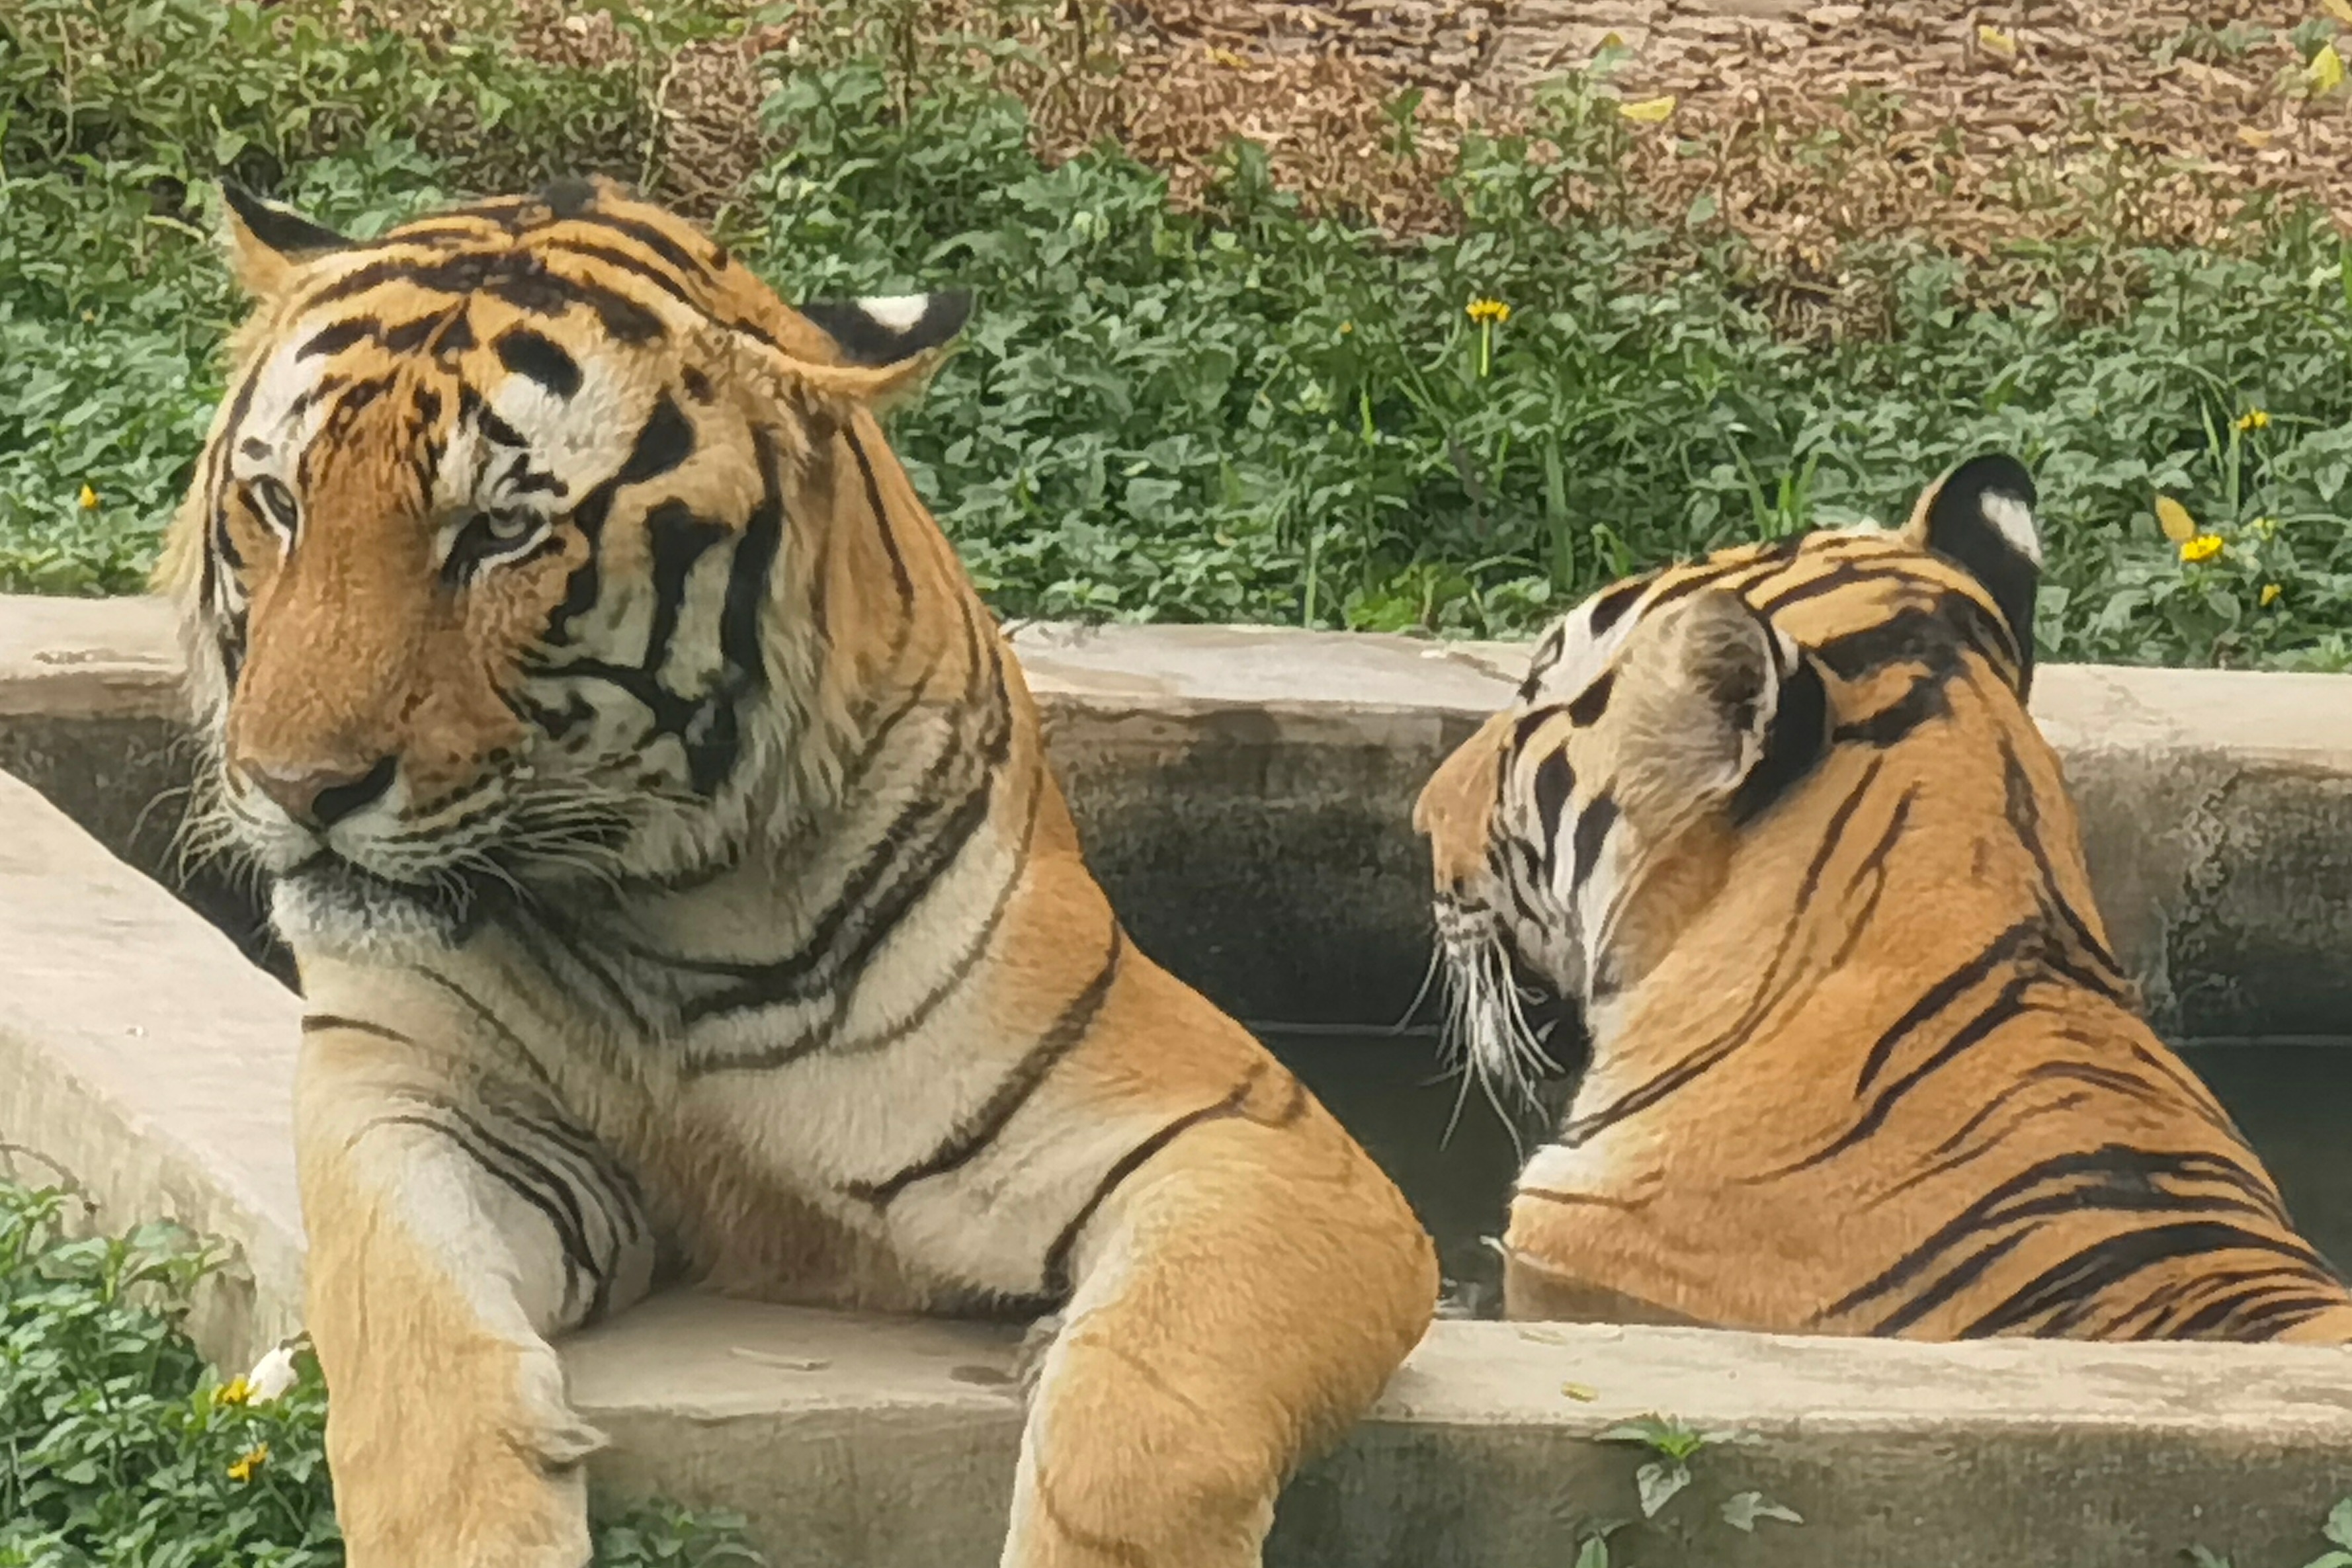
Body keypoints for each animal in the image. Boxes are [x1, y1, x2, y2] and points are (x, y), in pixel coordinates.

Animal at [161, 177, 1430, 1561]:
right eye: (281, 504)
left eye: (500, 533)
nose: (296, 788)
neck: (648, 905)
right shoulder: (414, 1091)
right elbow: (414, 1354)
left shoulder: (1261, 1147)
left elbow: (1146, 1426)